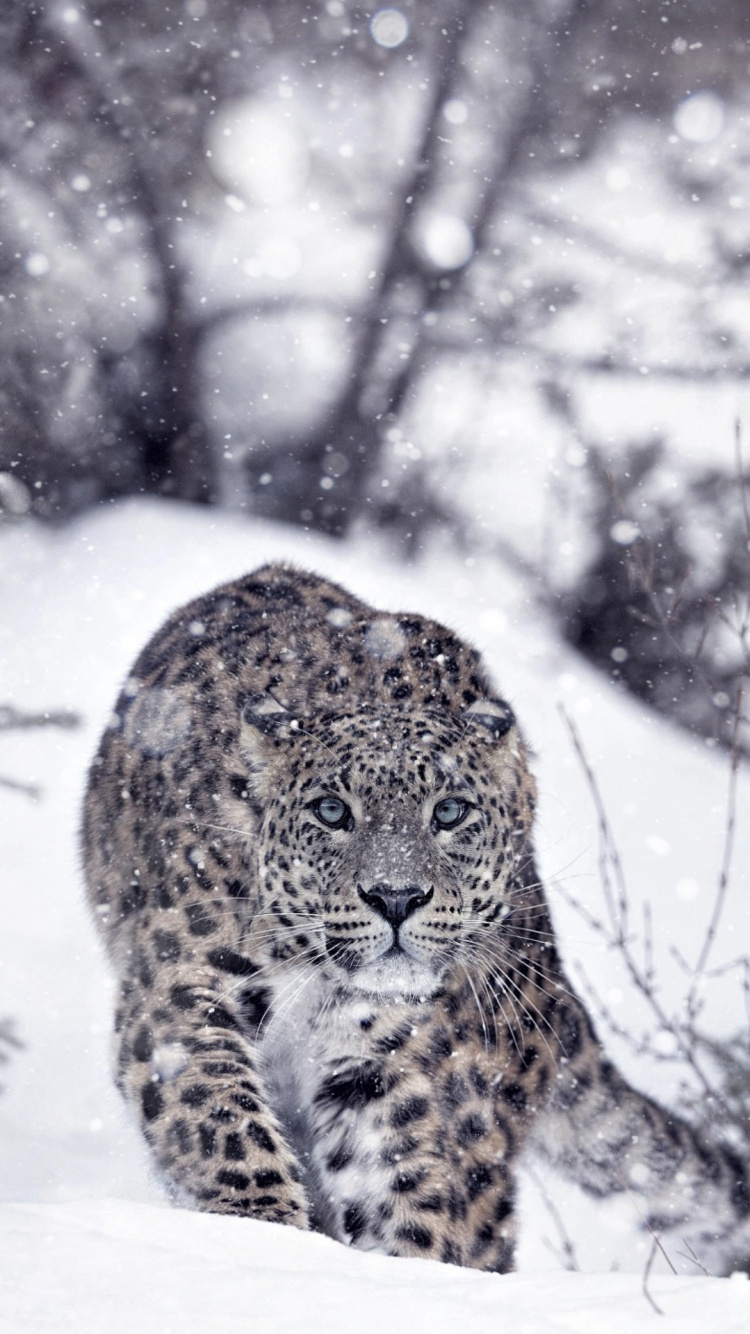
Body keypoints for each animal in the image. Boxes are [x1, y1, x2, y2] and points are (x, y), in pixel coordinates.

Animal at [82, 562, 750, 1273]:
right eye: (331, 811)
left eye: (451, 812)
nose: (397, 897)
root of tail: (553, 987)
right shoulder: (181, 987)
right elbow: (219, 1115)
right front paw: (263, 1228)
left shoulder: (383, 1063)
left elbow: (402, 1185)